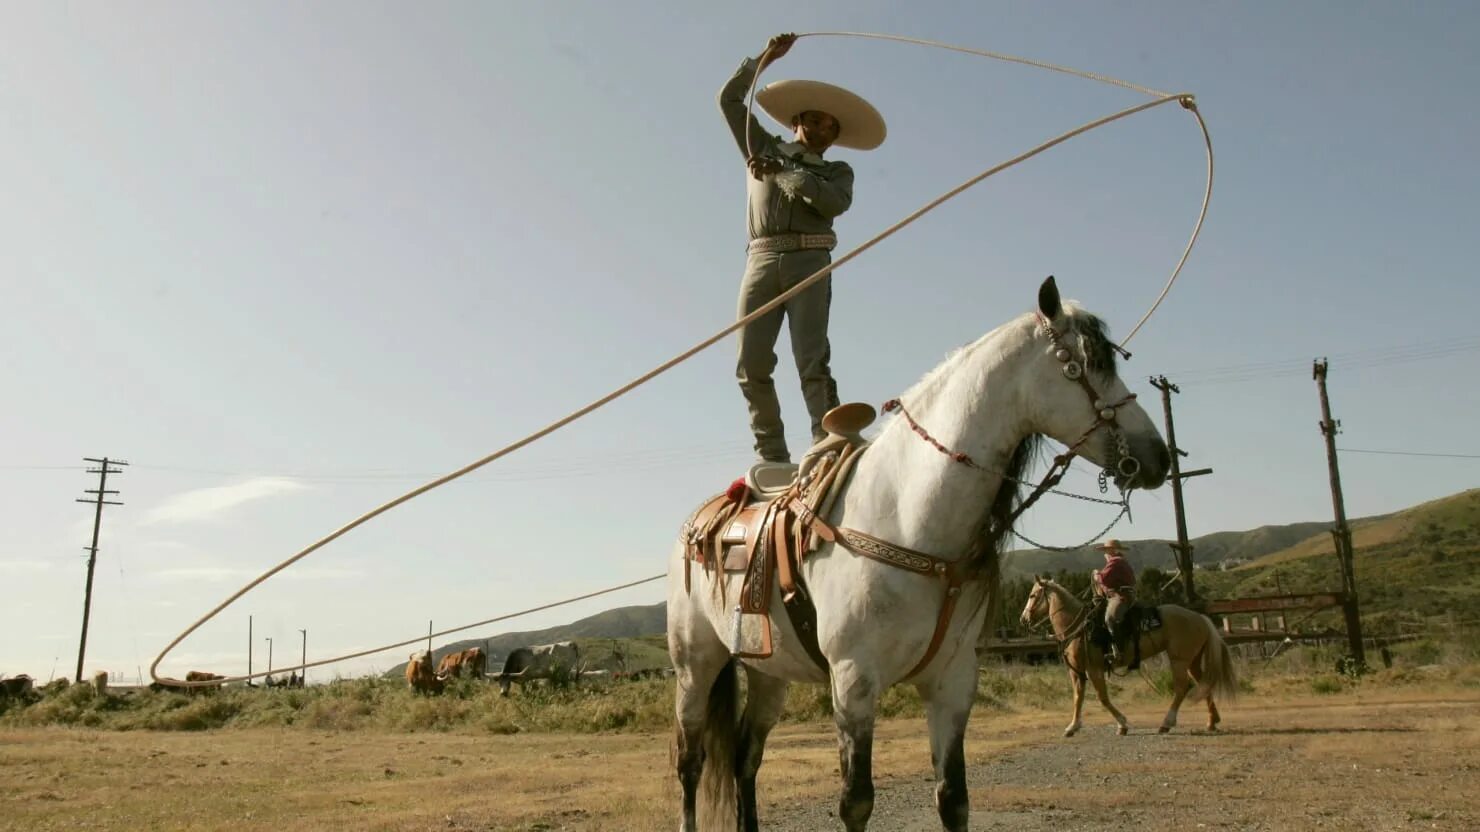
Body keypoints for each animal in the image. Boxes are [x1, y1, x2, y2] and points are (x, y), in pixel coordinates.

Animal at [668, 278, 1166, 829]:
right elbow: (856, 801)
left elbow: (953, 798)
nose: (1159, 456)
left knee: (745, 758)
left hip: (768, 674)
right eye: (1082, 365)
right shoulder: (854, 683)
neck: (908, 517)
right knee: (691, 762)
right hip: (695, 667)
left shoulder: (952, 684)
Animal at [1018, 577, 1237, 731]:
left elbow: (1103, 698)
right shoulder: (1077, 672)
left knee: (1182, 688)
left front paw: (1122, 724)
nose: (1023, 619)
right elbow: (1077, 697)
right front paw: (1072, 727)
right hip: (1192, 660)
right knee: (1204, 684)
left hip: (1179, 660)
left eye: (1032, 596)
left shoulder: (1094, 669)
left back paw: (1167, 723)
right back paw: (1212, 721)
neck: (1078, 626)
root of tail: (1199, 617)